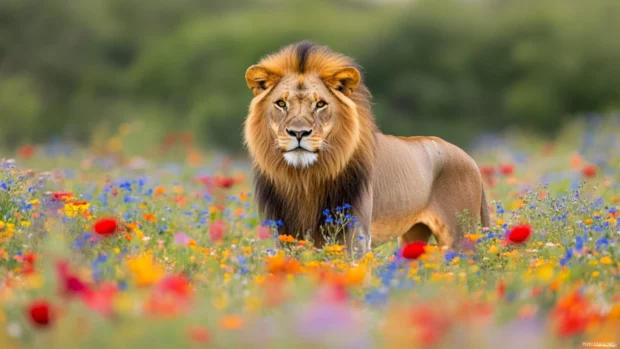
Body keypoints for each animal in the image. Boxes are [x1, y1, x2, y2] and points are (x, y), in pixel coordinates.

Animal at [243, 40, 490, 254]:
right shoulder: (285, 233)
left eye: (320, 104)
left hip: (460, 234)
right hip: (413, 234)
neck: (304, 179)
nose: (298, 133)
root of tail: (470, 159)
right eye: (281, 103)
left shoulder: (355, 234)